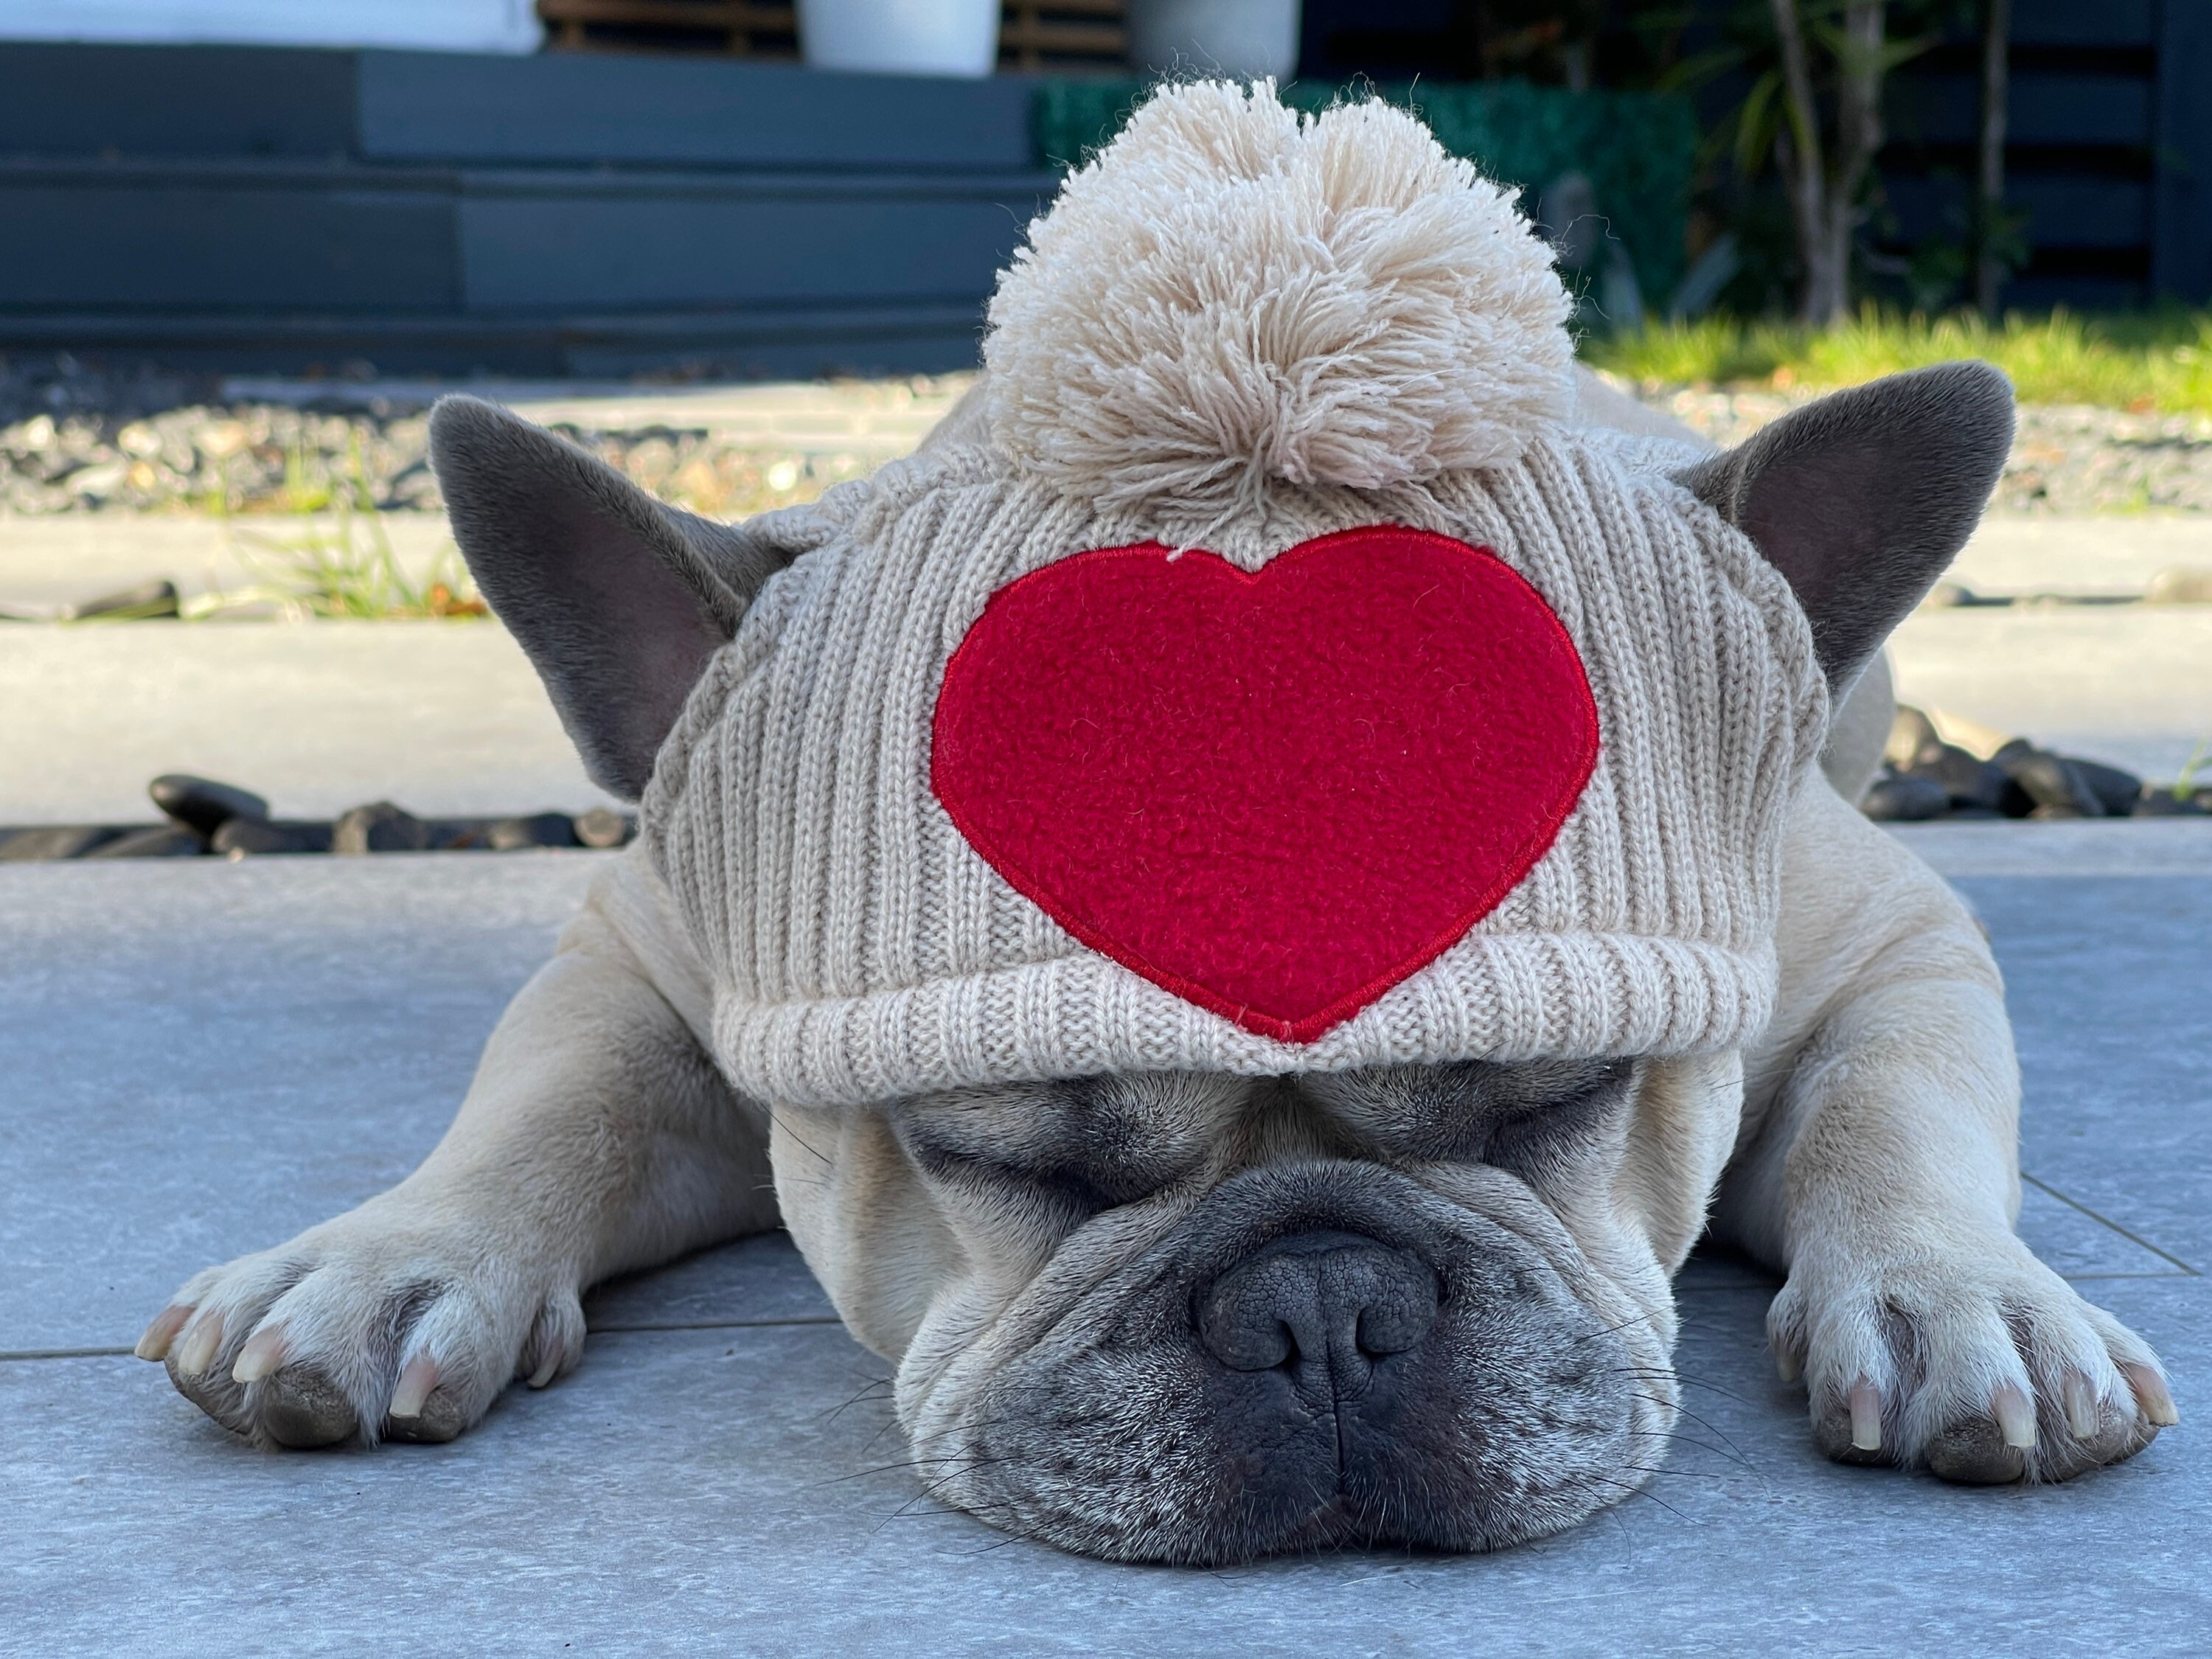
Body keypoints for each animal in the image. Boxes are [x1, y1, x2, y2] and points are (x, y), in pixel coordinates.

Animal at [138, 88, 2177, 1575]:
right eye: (988, 1151)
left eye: (1565, 1095)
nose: (1323, 1306)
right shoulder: (643, 967)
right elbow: (543, 1105)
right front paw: (386, 1260)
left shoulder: (1884, 948)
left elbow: (1890, 1106)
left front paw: (1962, 1299)